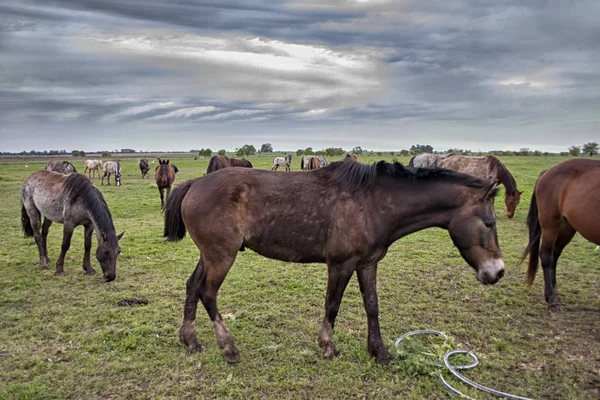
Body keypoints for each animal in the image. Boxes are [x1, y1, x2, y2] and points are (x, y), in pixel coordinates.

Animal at [163, 160, 502, 366]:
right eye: (489, 223)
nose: (497, 272)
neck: (373, 202)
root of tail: (193, 184)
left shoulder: (368, 263)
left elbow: (372, 305)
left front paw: (379, 352)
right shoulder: (341, 264)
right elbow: (332, 305)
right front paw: (328, 345)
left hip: (210, 255)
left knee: (192, 287)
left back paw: (190, 340)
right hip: (222, 256)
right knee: (208, 293)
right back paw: (228, 347)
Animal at [520, 158, 600, 310]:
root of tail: (547, 172)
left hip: (567, 226)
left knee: (555, 254)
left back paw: (554, 288)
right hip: (550, 224)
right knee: (546, 255)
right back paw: (550, 296)